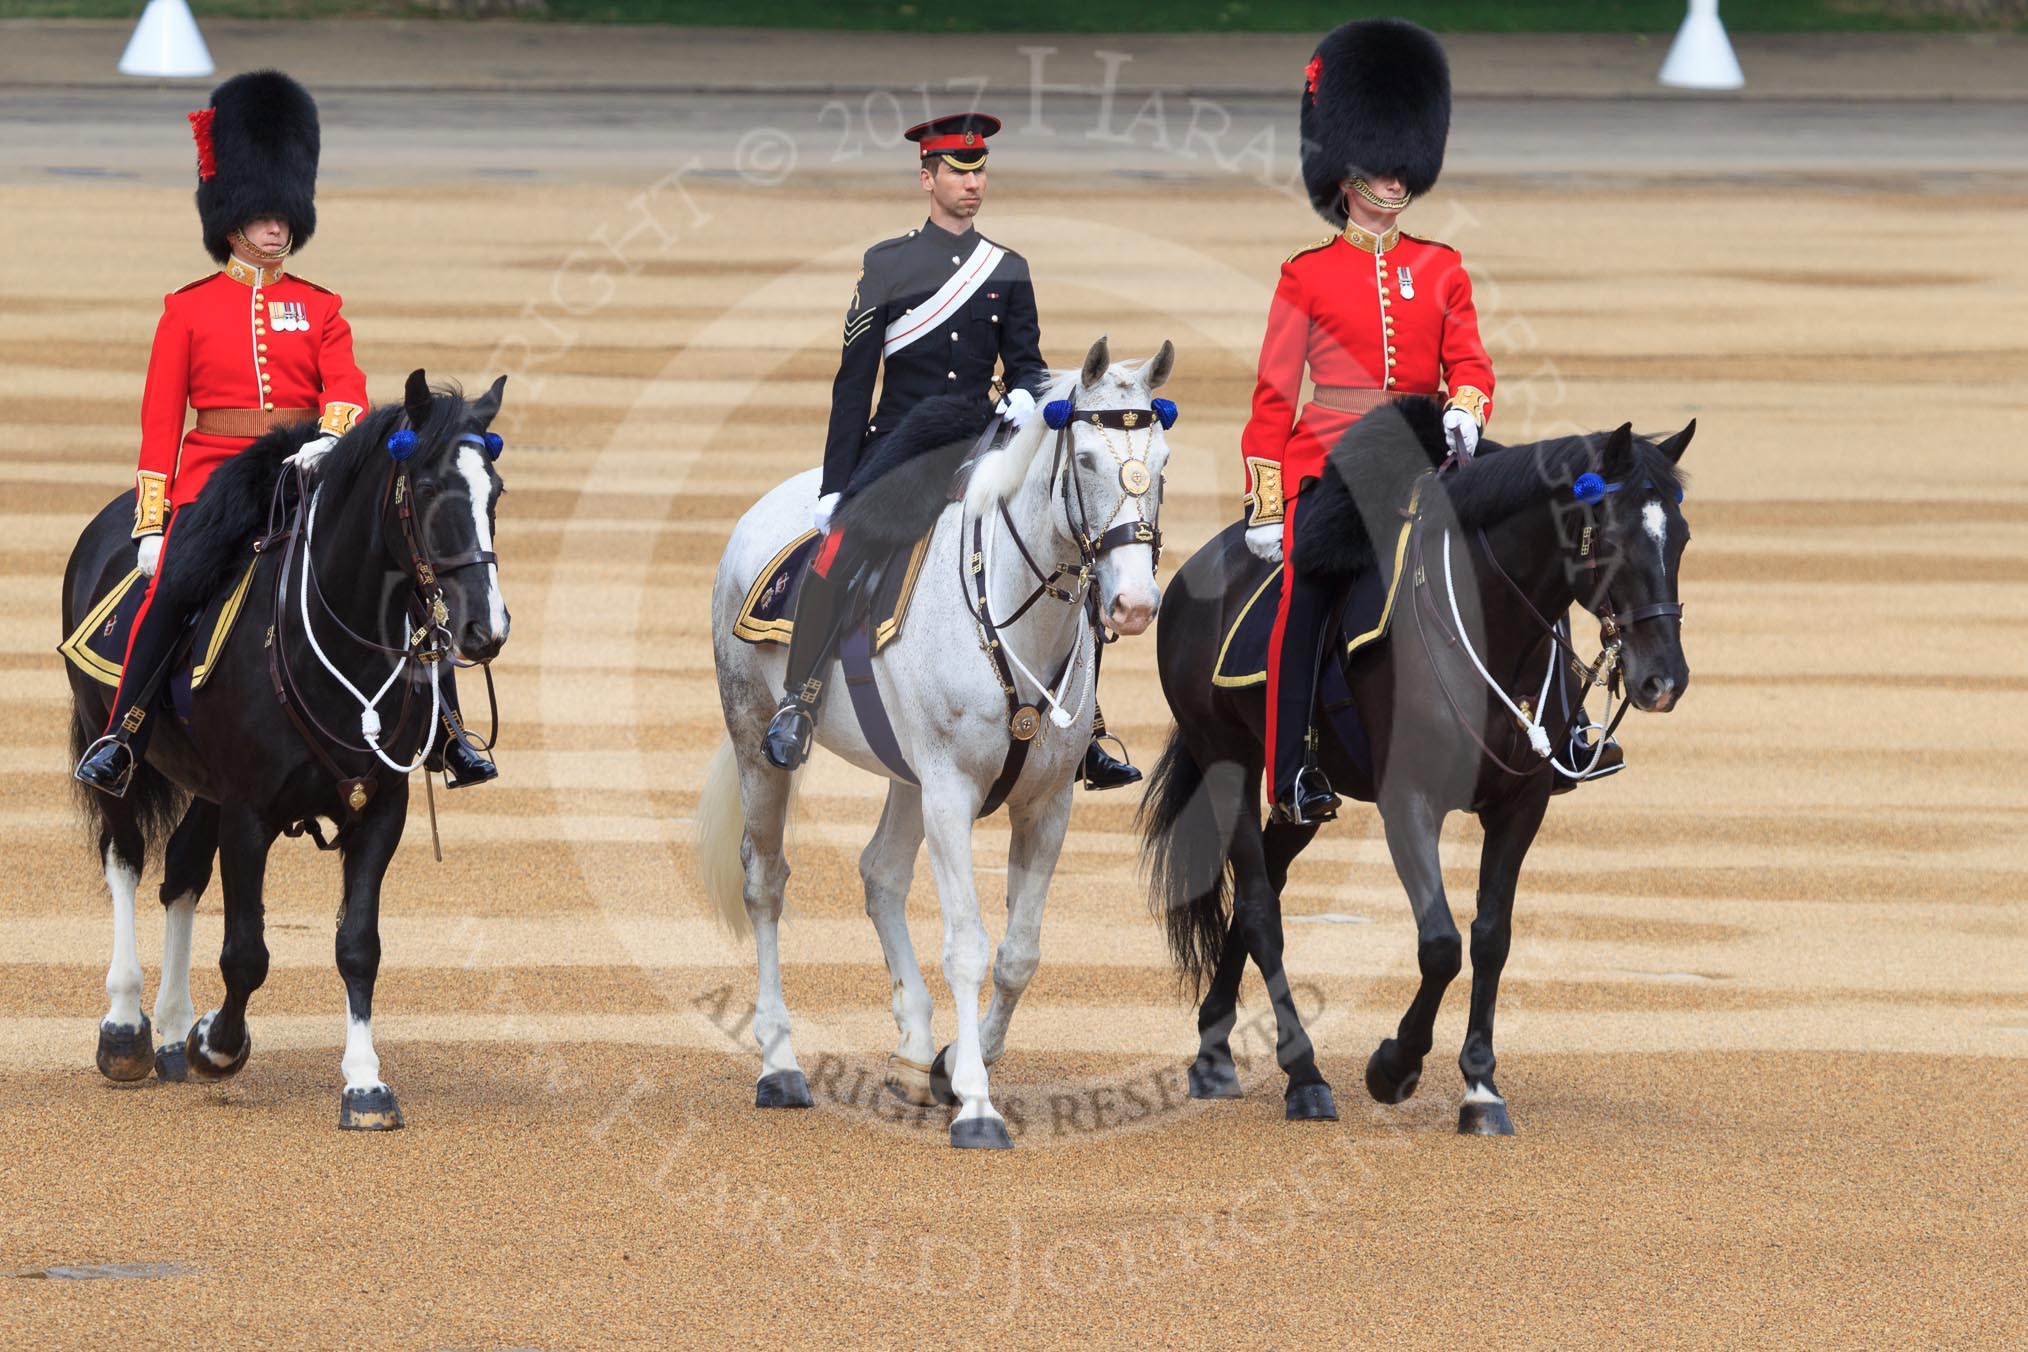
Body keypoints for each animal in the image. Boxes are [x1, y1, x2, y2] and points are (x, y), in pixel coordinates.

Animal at [62, 370, 511, 1135]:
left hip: (206, 788)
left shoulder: (379, 810)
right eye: (424, 488)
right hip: (119, 749)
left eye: (497, 492)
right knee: (124, 859)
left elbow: (358, 946)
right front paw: (220, 1044)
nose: (486, 627)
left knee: (180, 872)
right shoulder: (250, 813)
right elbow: (246, 952)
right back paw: (127, 1028)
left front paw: (364, 1084)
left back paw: (172, 1029)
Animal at [697, 338, 1176, 1151]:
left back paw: (915, 1046)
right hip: (758, 738)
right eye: (1083, 459)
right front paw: (977, 1104)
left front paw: (955, 1065)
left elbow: (1018, 954)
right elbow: (967, 945)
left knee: (880, 874)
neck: (1012, 610)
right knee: (765, 882)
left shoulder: (1044, 804)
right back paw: (780, 1064)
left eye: (1164, 460)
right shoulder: (952, 790)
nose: (1134, 603)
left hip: (906, 775)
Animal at [1143, 401, 1695, 1135]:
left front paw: (1481, 1086)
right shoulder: (1408, 802)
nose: (1664, 680)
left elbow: (1491, 938)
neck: (1491, 630)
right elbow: (1440, 944)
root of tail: (1197, 568)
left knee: (1270, 877)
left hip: (1301, 792)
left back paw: (1214, 1050)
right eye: (1606, 534)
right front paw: (1394, 1066)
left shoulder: (1520, 806)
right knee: (1260, 906)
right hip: (1225, 761)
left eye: (1681, 537)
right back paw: (1305, 1077)